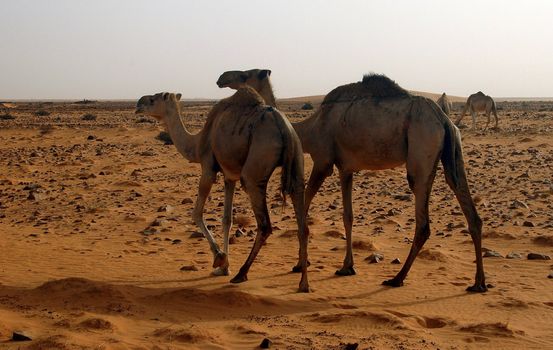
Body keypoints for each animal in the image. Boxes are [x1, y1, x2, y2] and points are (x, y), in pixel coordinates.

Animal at [132, 89, 308, 292]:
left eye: (153, 99)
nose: (138, 104)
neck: (197, 142)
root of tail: (283, 126)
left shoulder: (208, 167)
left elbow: (197, 213)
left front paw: (219, 258)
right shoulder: (229, 176)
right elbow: (227, 220)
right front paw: (224, 267)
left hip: (255, 169)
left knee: (264, 224)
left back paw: (242, 274)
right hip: (297, 159)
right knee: (302, 223)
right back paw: (303, 282)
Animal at [218, 69, 486, 292]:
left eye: (245, 74)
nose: (222, 78)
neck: (310, 128)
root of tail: (444, 119)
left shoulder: (323, 161)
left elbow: (305, 205)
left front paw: (300, 264)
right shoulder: (346, 168)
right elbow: (348, 216)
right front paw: (347, 266)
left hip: (421, 148)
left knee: (423, 219)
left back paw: (397, 278)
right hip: (452, 152)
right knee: (468, 207)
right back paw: (478, 283)